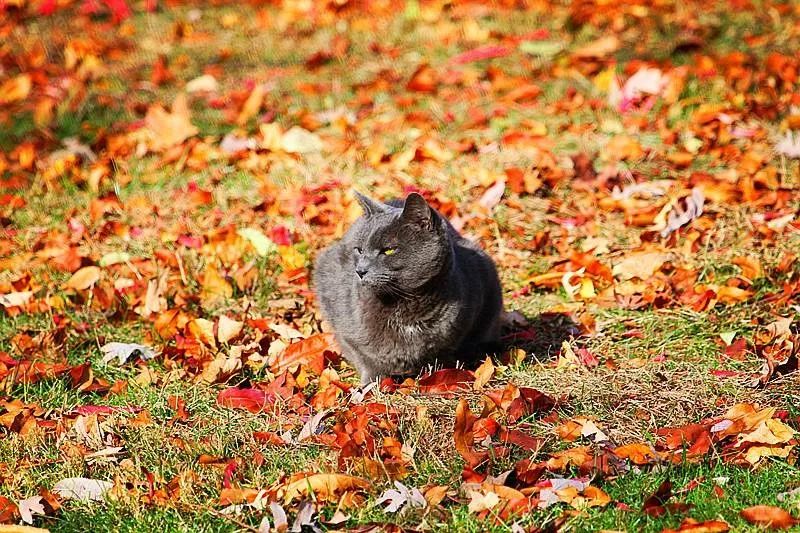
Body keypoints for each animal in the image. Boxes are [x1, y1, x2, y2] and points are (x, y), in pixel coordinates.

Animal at [310, 191, 500, 382]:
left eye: (388, 250)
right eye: (359, 250)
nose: (360, 270)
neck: (404, 302)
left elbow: (444, 353)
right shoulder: (346, 329)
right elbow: (364, 357)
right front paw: (370, 383)